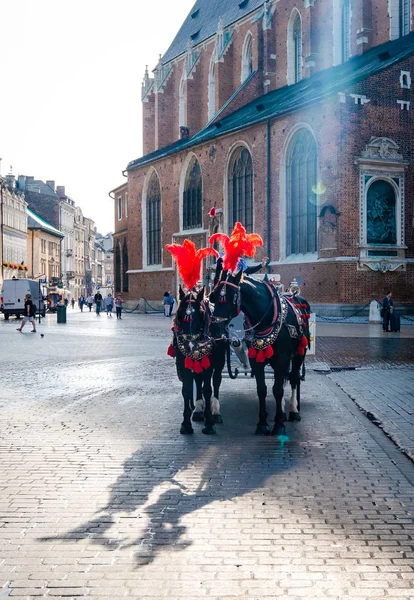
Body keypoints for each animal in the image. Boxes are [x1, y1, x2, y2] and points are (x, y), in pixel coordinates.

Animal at [168, 288, 217, 436]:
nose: (190, 345)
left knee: (216, 383)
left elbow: (208, 390)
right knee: (198, 381)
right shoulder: (183, 365)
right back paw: (198, 410)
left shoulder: (209, 366)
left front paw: (209, 424)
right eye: (180, 312)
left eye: (200, 312)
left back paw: (215, 413)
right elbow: (187, 390)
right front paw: (186, 424)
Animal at [209, 268, 308, 436]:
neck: (266, 318)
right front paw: (262, 424)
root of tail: (295, 296)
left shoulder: (281, 359)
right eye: (213, 297)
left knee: (294, 378)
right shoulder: (256, 360)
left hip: (299, 354)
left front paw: (279, 426)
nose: (214, 328)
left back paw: (293, 411)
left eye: (231, 297)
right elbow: (262, 390)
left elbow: (278, 390)